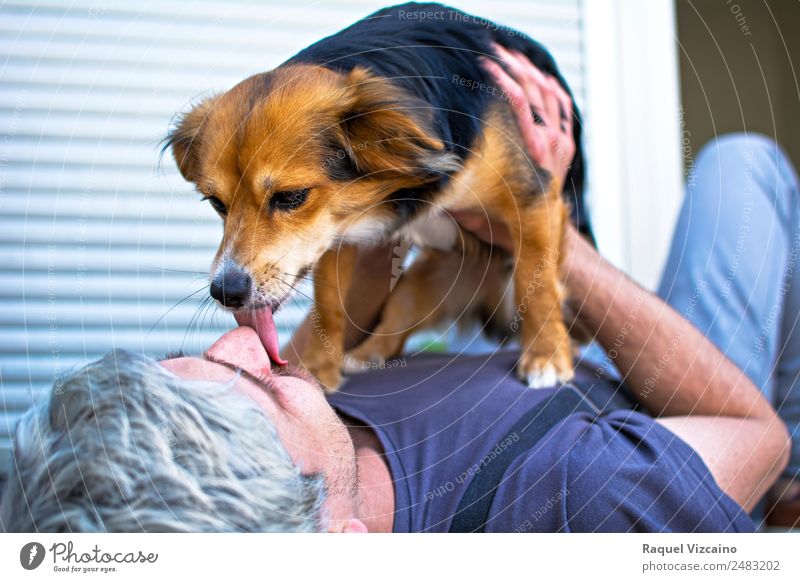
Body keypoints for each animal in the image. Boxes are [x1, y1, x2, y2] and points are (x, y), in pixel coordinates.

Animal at [167, 2, 592, 392]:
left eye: (291, 197)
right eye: (216, 204)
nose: (225, 292)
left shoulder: (533, 198)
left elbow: (537, 286)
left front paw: (546, 356)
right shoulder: (333, 234)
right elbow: (329, 306)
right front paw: (319, 370)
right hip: (430, 280)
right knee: (397, 321)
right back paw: (366, 354)